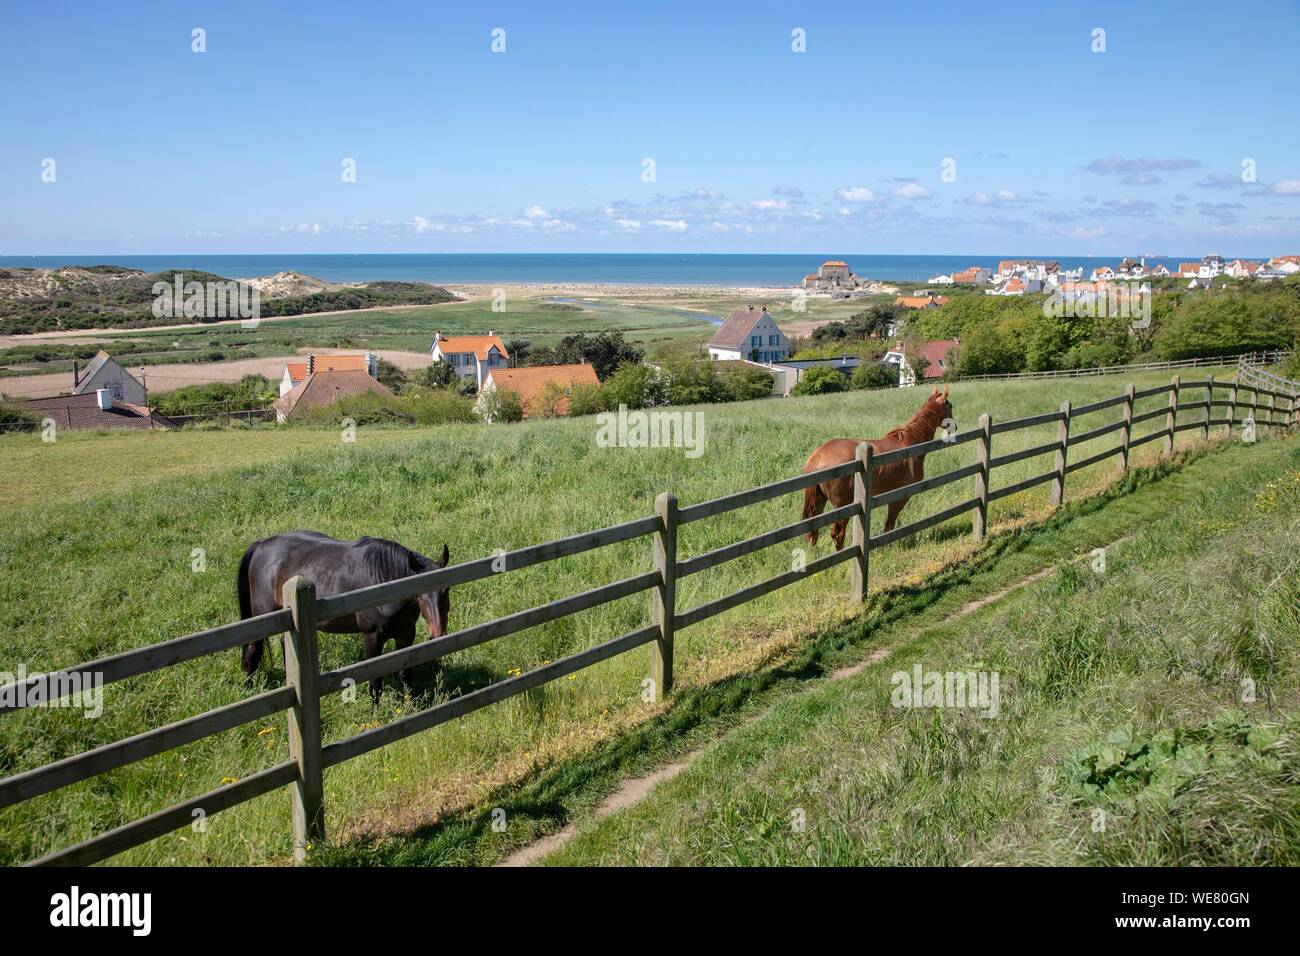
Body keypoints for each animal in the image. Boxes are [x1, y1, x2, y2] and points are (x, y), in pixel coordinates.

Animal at [239, 530, 452, 702]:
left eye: (447, 589)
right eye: (421, 594)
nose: (437, 634)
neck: (384, 584)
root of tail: (261, 545)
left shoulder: (405, 635)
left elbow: (406, 675)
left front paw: (407, 707)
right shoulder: (372, 638)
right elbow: (375, 684)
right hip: (262, 617)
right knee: (252, 652)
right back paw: (249, 691)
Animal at [795, 385, 951, 548]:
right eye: (950, 406)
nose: (954, 426)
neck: (911, 443)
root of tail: (819, 455)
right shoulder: (901, 495)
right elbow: (890, 523)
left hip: (819, 501)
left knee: (813, 532)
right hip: (843, 506)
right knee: (838, 534)